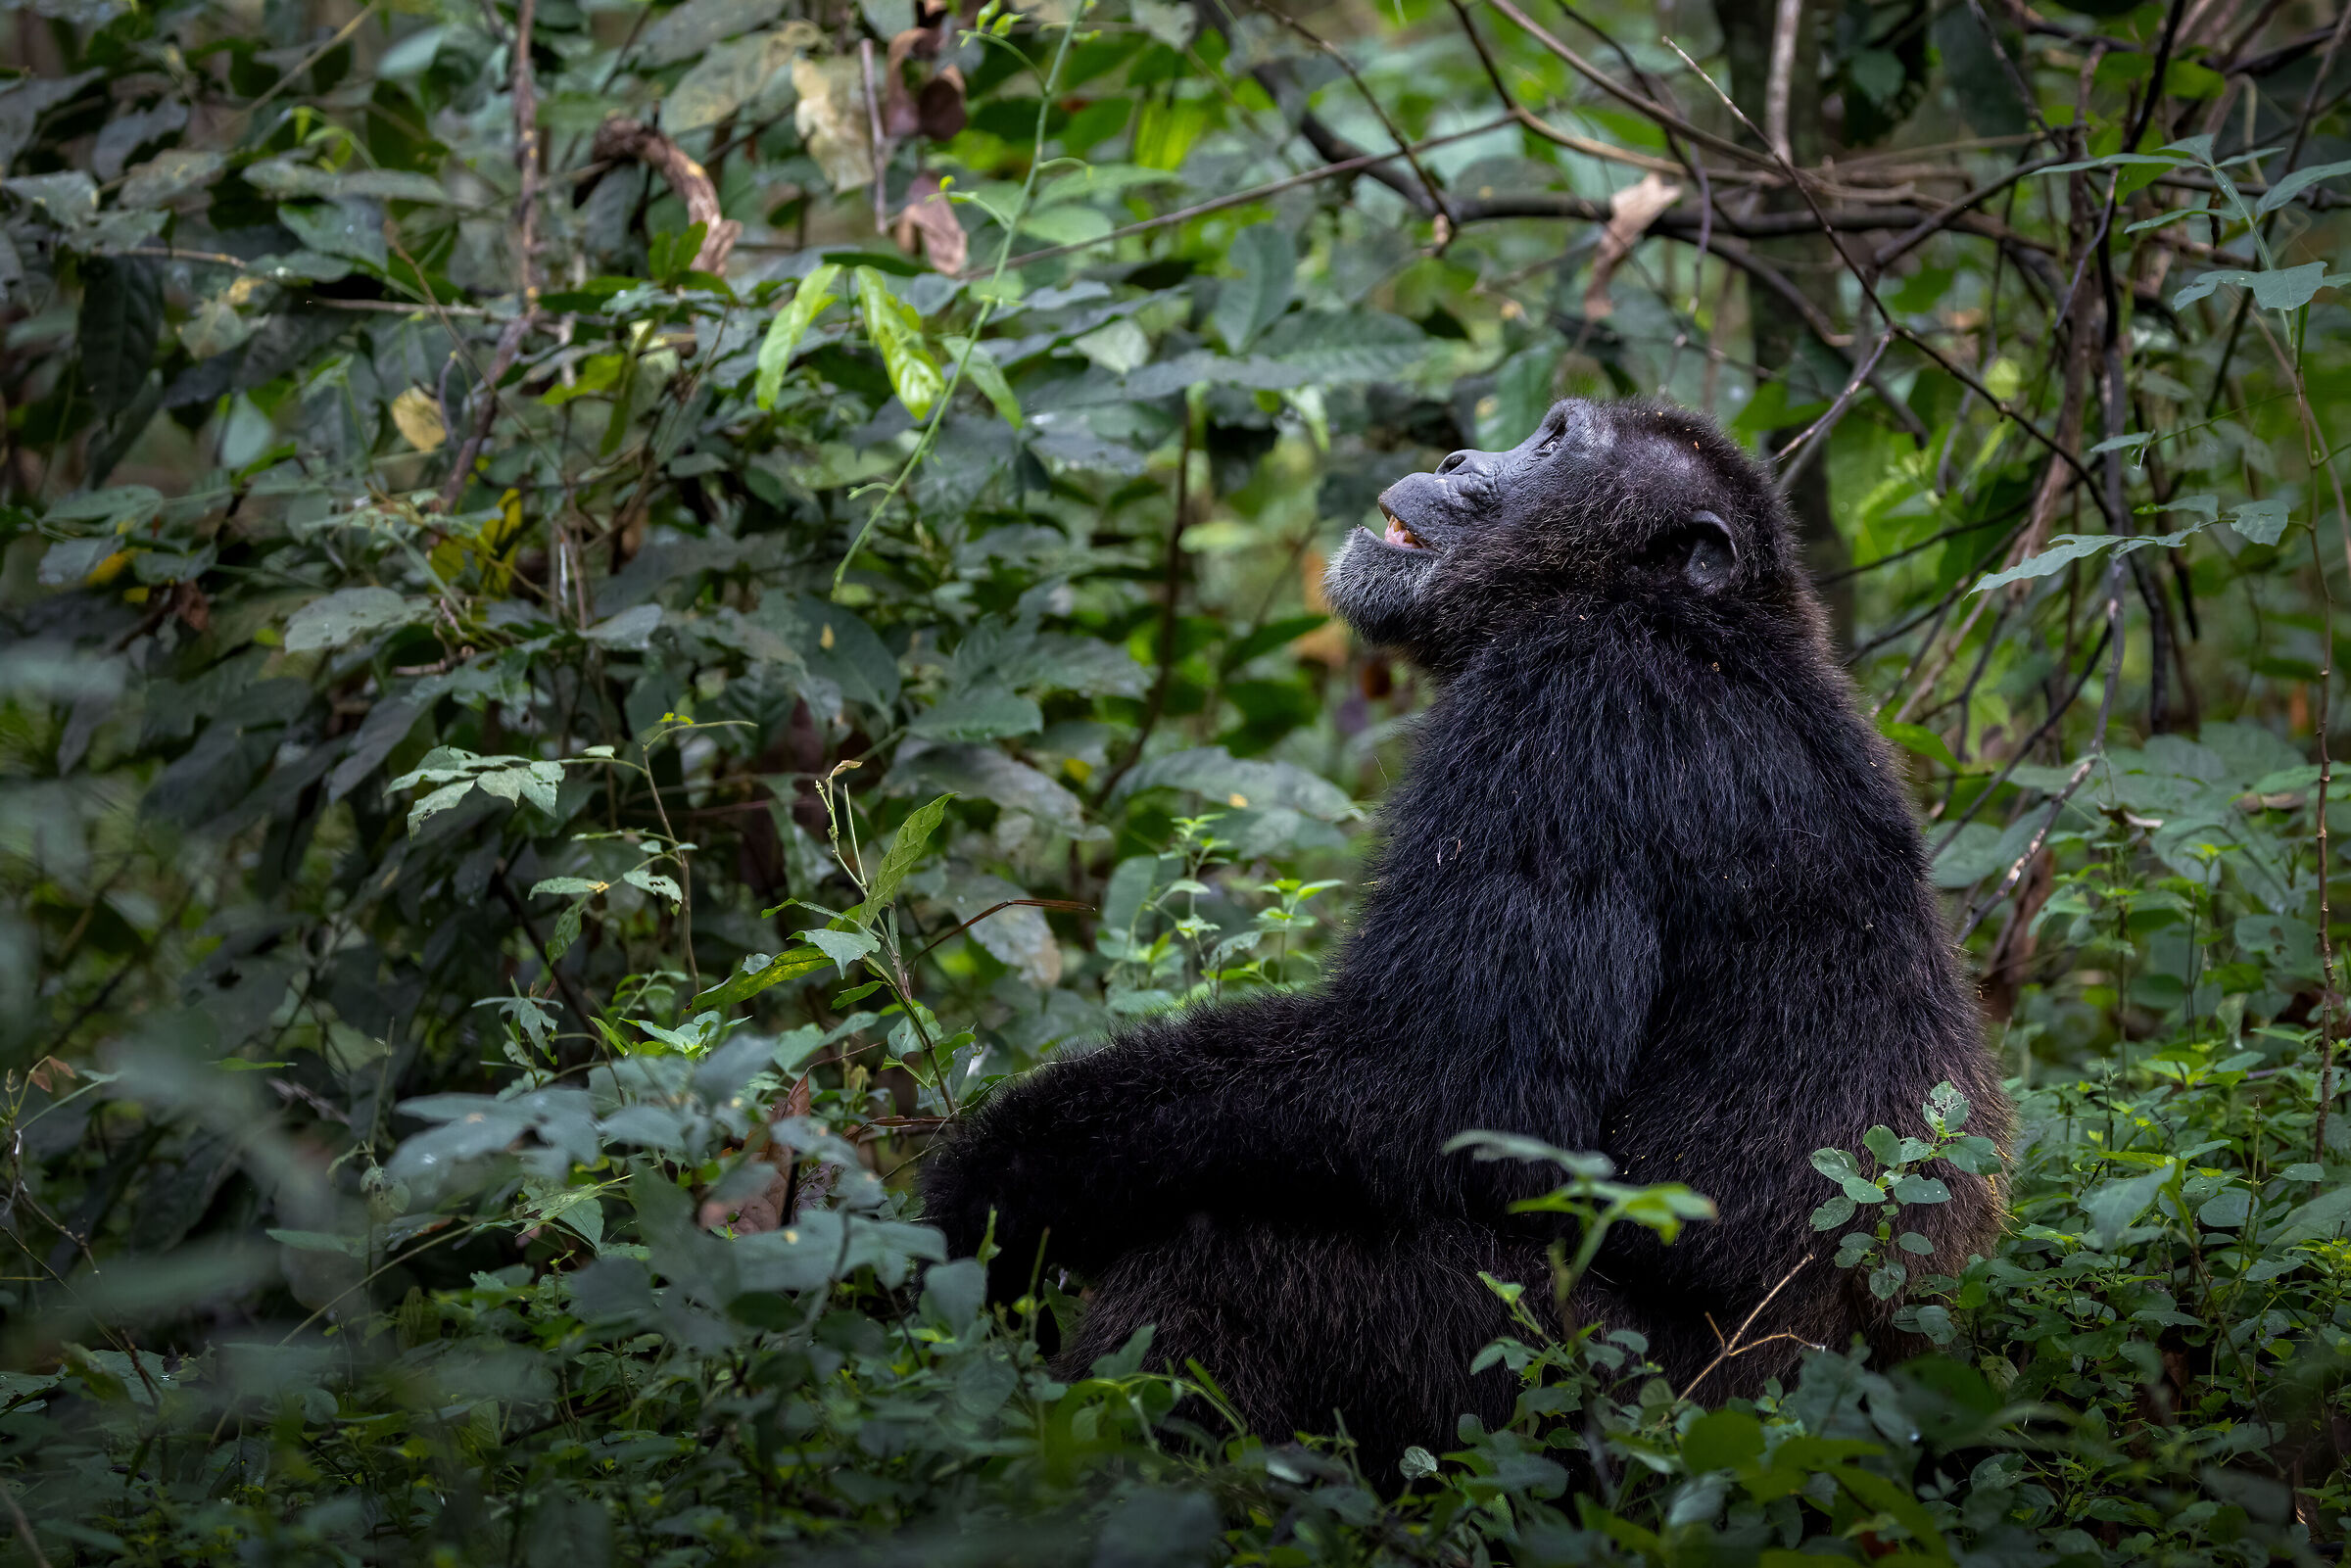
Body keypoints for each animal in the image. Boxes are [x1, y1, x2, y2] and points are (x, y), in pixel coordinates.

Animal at [920, 397, 2009, 1480]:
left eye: (1554, 442)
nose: (1455, 457)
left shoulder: (1564, 712)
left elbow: (1444, 1076)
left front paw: (1001, 1182)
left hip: (1595, 1382)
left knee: (1235, 1257)